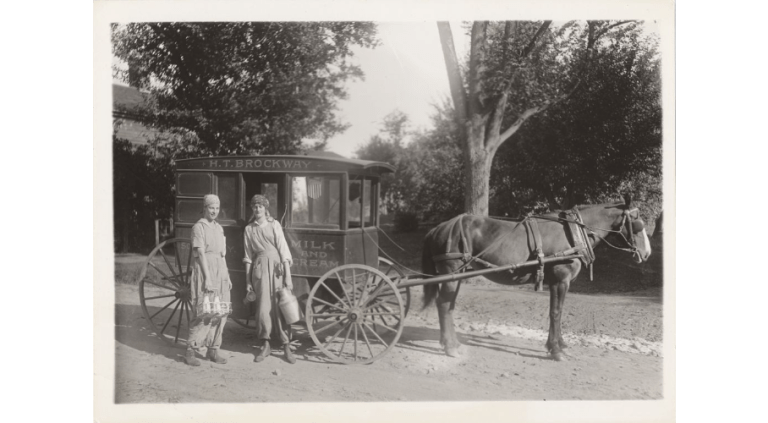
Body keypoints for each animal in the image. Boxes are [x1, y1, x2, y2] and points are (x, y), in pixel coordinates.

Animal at [424, 198, 652, 362]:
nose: (647, 253)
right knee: (443, 304)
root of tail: (439, 228)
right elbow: (556, 313)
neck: (574, 234)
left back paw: (451, 343)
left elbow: (558, 312)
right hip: (451, 272)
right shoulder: (561, 280)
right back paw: (450, 347)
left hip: (457, 275)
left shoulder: (559, 283)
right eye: (637, 223)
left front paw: (560, 345)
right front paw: (556, 350)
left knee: (448, 305)